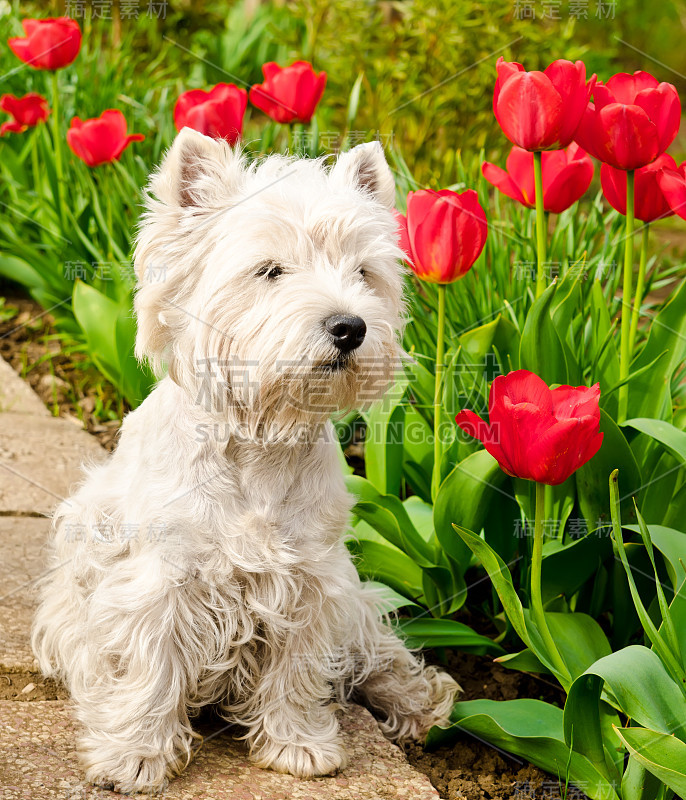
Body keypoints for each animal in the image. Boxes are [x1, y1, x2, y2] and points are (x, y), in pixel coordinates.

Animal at [33, 130, 462, 792]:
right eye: (270, 271)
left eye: (363, 272)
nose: (350, 326)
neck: (261, 440)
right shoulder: (159, 579)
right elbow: (150, 667)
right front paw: (134, 756)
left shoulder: (313, 579)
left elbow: (298, 669)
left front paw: (298, 746)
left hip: (355, 602)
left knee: (374, 648)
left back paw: (420, 701)